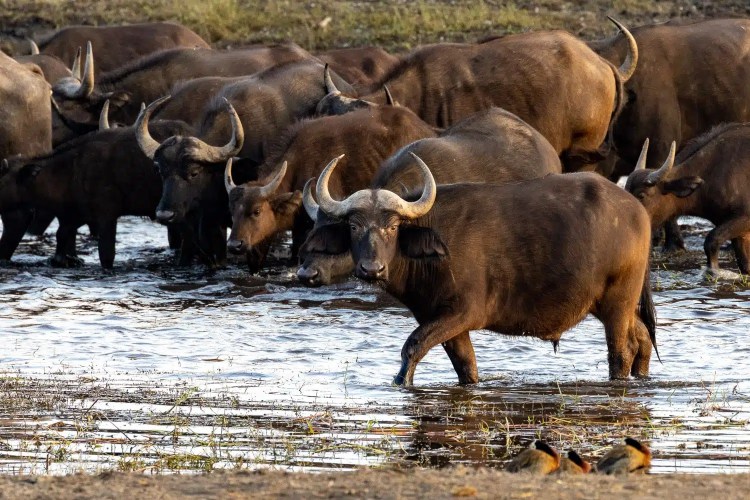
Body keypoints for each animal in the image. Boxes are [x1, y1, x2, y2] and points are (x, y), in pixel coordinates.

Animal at [304, 155, 656, 384]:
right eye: (353, 226)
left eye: (392, 227)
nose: (371, 268)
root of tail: (636, 210)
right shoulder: (443, 319)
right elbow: (466, 366)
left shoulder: (463, 312)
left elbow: (412, 346)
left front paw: (401, 382)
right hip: (611, 304)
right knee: (642, 338)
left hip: (618, 301)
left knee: (622, 350)